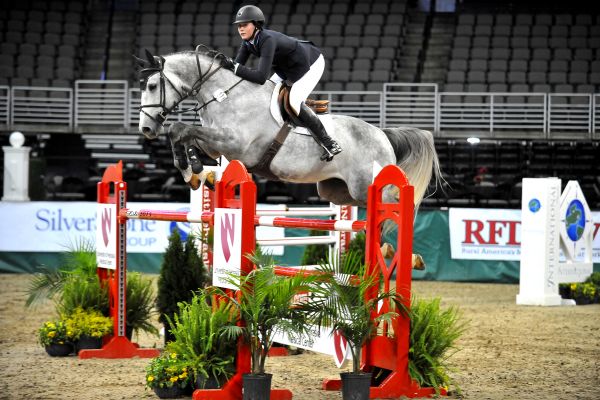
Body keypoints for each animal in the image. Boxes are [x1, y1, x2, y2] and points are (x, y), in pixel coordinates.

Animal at [137, 48, 440, 208]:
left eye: (151, 86)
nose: (146, 129)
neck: (224, 94)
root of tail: (382, 134)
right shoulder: (216, 145)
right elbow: (183, 133)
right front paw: (196, 172)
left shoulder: (235, 144)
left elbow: (181, 129)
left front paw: (193, 170)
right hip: (336, 191)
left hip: (368, 186)